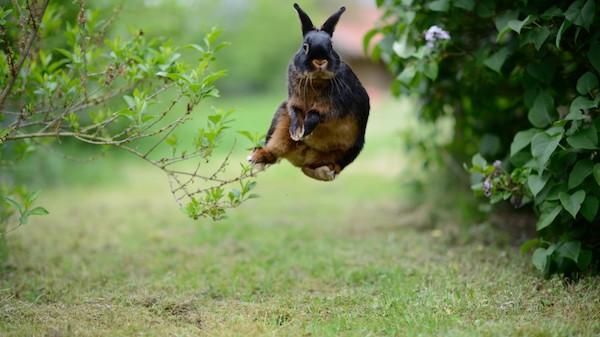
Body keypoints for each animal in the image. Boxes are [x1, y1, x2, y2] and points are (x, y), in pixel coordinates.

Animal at [245, 3, 368, 181]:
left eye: (331, 46)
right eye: (305, 46)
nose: (320, 61)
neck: (316, 79)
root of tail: (302, 158)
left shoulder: (336, 105)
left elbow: (317, 113)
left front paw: (306, 129)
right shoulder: (293, 101)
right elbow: (296, 111)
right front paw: (297, 131)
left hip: (352, 148)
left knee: (323, 168)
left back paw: (326, 171)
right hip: (280, 122)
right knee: (276, 149)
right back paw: (257, 158)